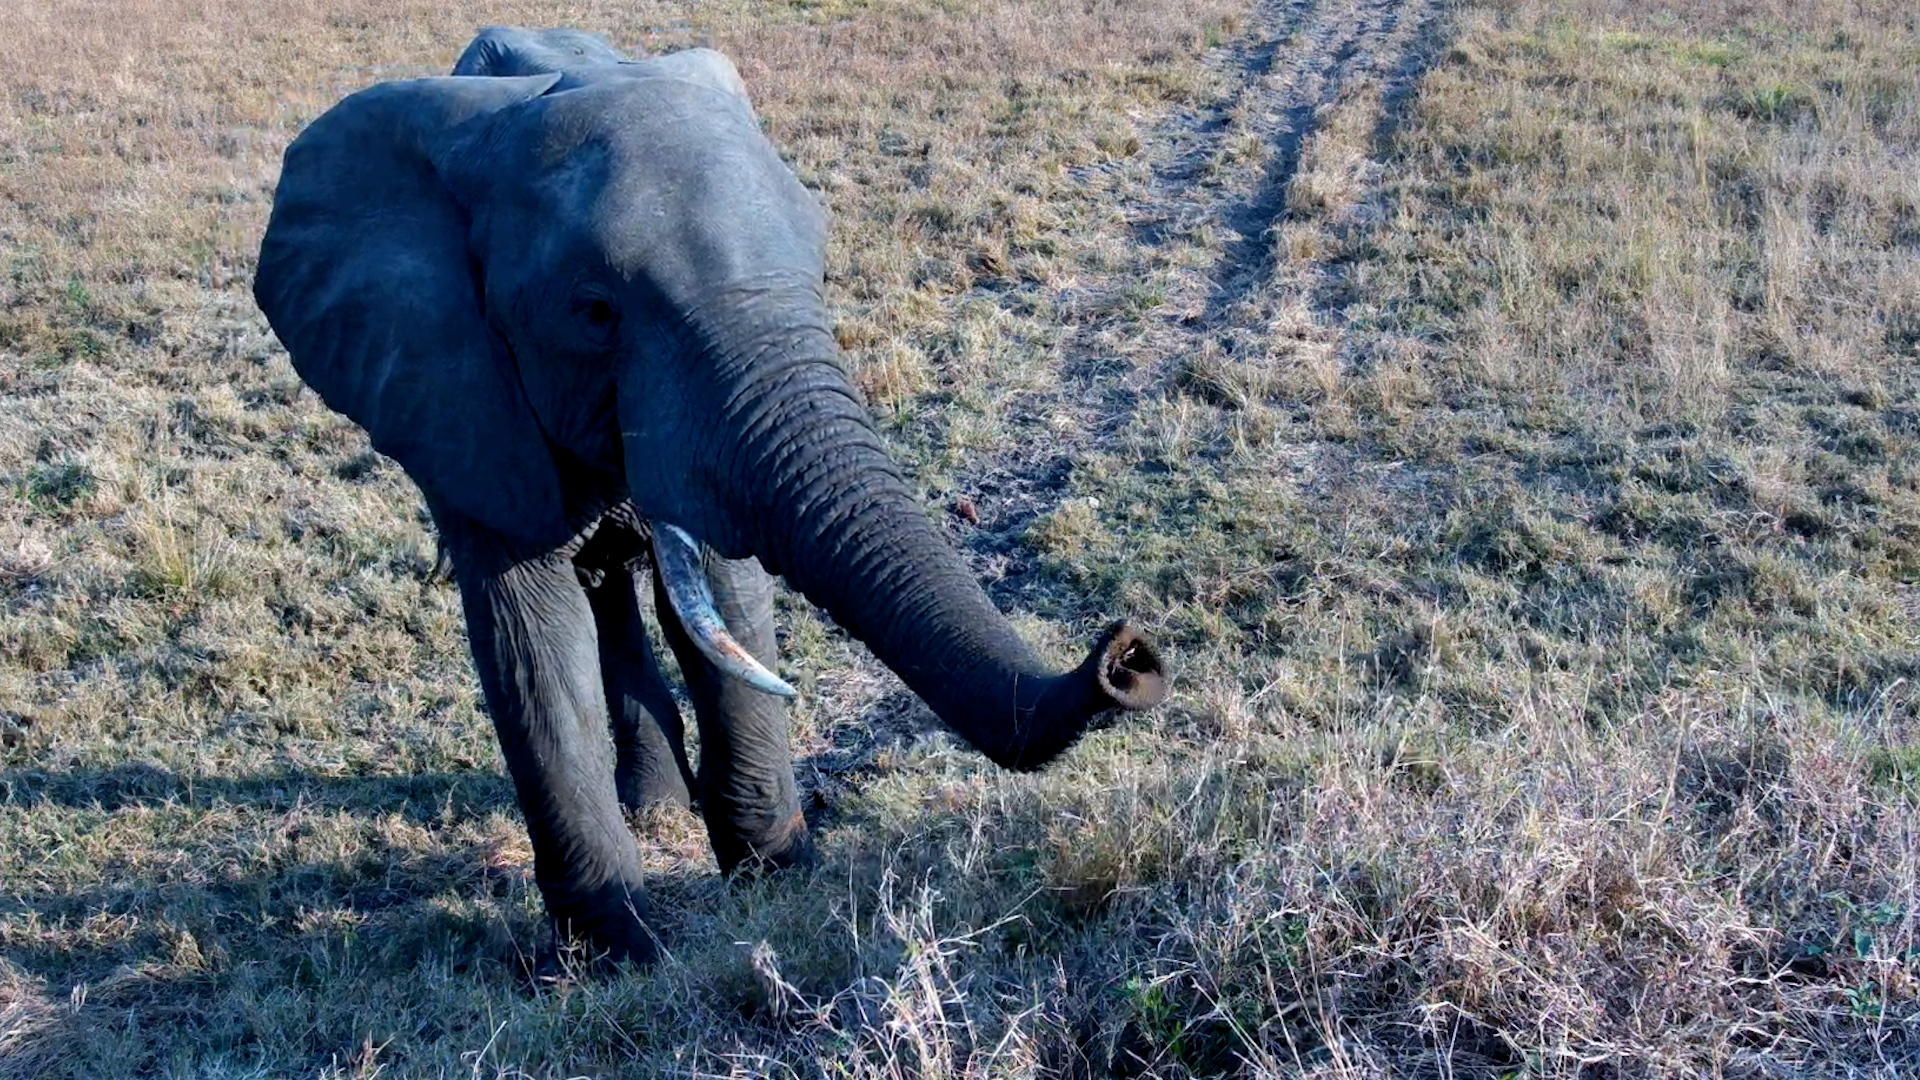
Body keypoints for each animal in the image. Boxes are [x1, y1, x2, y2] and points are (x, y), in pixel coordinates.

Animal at [252, 26, 1169, 965]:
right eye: (594, 313)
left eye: (820, 263)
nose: (1129, 653)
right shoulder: (457, 394)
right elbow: (530, 642)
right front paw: (616, 953)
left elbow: (726, 599)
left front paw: (775, 881)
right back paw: (651, 812)